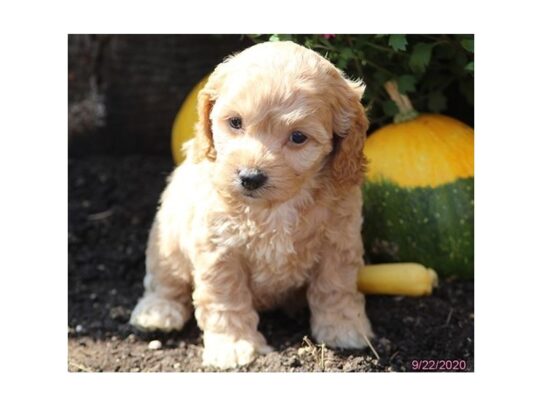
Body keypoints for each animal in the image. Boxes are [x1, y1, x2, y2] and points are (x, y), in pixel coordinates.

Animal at [132, 41, 374, 370]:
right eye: (235, 122)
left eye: (298, 137)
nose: (250, 177)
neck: (274, 207)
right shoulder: (219, 250)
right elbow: (225, 298)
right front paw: (233, 345)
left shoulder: (338, 240)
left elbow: (335, 286)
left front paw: (344, 327)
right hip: (167, 235)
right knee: (164, 279)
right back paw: (157, 313)